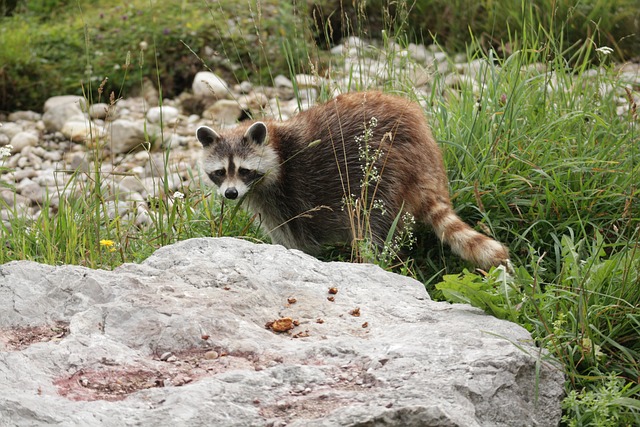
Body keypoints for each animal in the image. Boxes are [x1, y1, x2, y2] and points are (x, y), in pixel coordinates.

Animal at [198, 91, 508, 270]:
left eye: (244, 170)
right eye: (220, 172)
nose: (231, 194)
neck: (277, 147)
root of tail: (427, 164)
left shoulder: (289, 194)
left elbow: (296, 241)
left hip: (382, 173)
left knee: (371, 227)